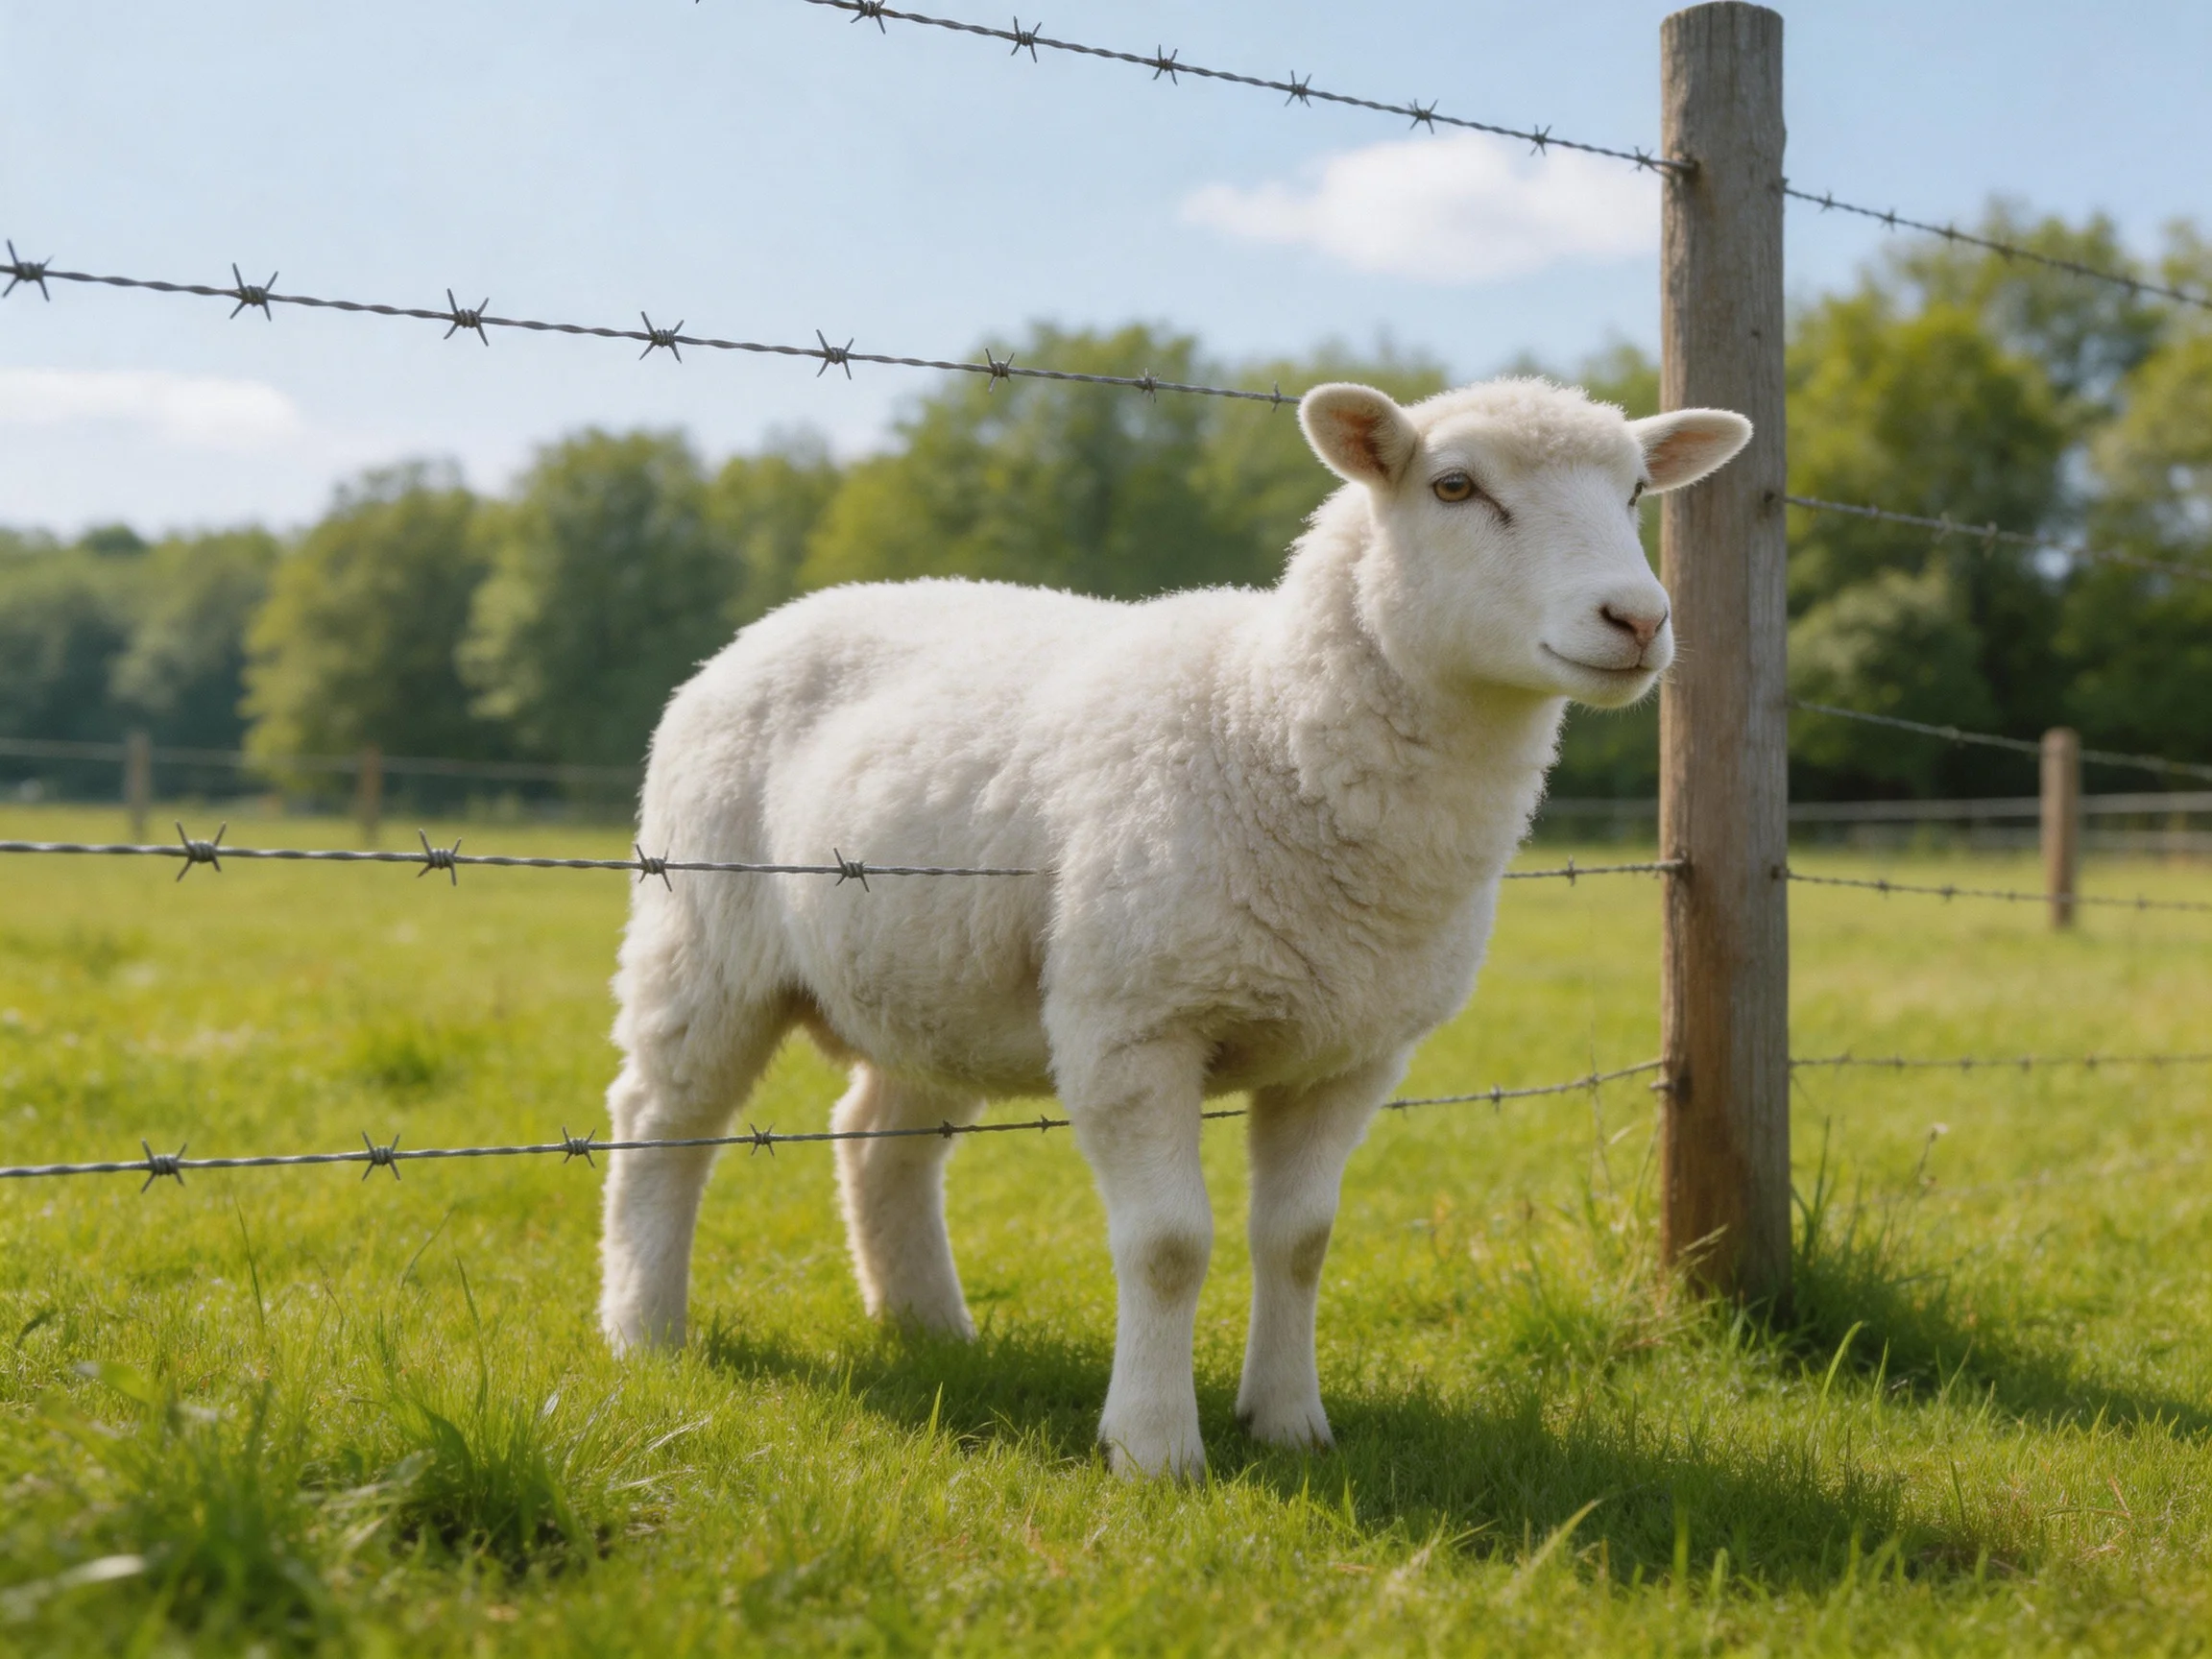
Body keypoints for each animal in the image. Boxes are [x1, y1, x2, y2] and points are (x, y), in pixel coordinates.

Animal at [597, 376, 1752, 1477]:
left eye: (1637, 493)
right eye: (1456, 486)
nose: (1638, 619)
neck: (1269, 722)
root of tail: (776, 622)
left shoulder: (1351, 1052)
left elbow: (1300, 1240)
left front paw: (1289, 1424)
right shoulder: (1133, 1023)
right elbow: (1167, 1246)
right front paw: (1152, 1448)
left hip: (935, 973)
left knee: (881, 1140)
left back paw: (929, 1329)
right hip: (703, 938)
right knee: (660, 1121)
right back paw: (644, 1330)